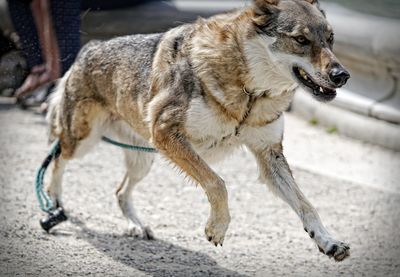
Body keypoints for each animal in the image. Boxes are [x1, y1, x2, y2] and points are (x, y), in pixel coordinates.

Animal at [44, 0, 350, 260]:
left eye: (331, 39)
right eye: (301, 40)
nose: (342, 75)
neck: (249, 92)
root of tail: (89, 48)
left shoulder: (269, 155)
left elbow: (306, 205)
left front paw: (328, 241)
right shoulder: (168, 134)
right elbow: (217, 183)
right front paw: (218, 227)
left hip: (143, 159)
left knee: (120, 191)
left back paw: (135, 226)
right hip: (84, 142)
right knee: (56, 161)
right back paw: (53, 203)